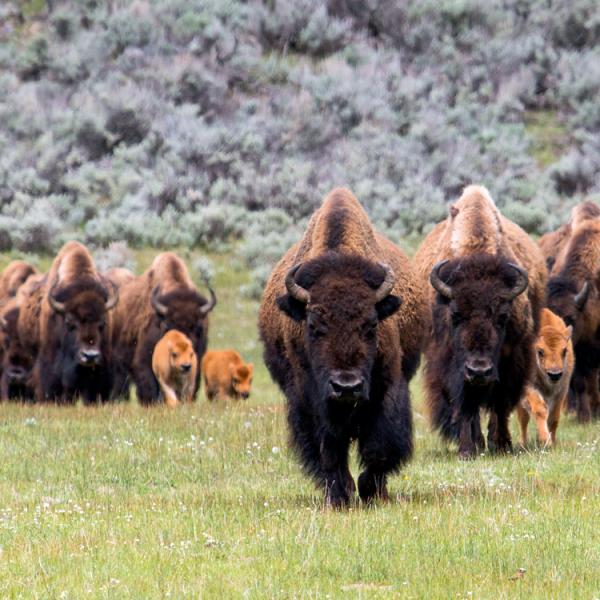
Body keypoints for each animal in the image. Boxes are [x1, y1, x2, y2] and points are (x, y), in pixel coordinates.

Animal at [258, 188, 426, 506]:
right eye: (313, 325)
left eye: (371, 324)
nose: (346, 387)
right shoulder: (309, 398)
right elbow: (329, 448)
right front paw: (339, 495)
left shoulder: (387, 386)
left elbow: (380, 446)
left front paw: (371, 491)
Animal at [412, 185, 548, 458]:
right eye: (455, 315)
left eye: (502, 317)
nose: (479, 371)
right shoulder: (450, 364)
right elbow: (465, 405)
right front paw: (467, 449)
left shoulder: (512, 361)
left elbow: (501, 404)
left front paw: (502, 444)